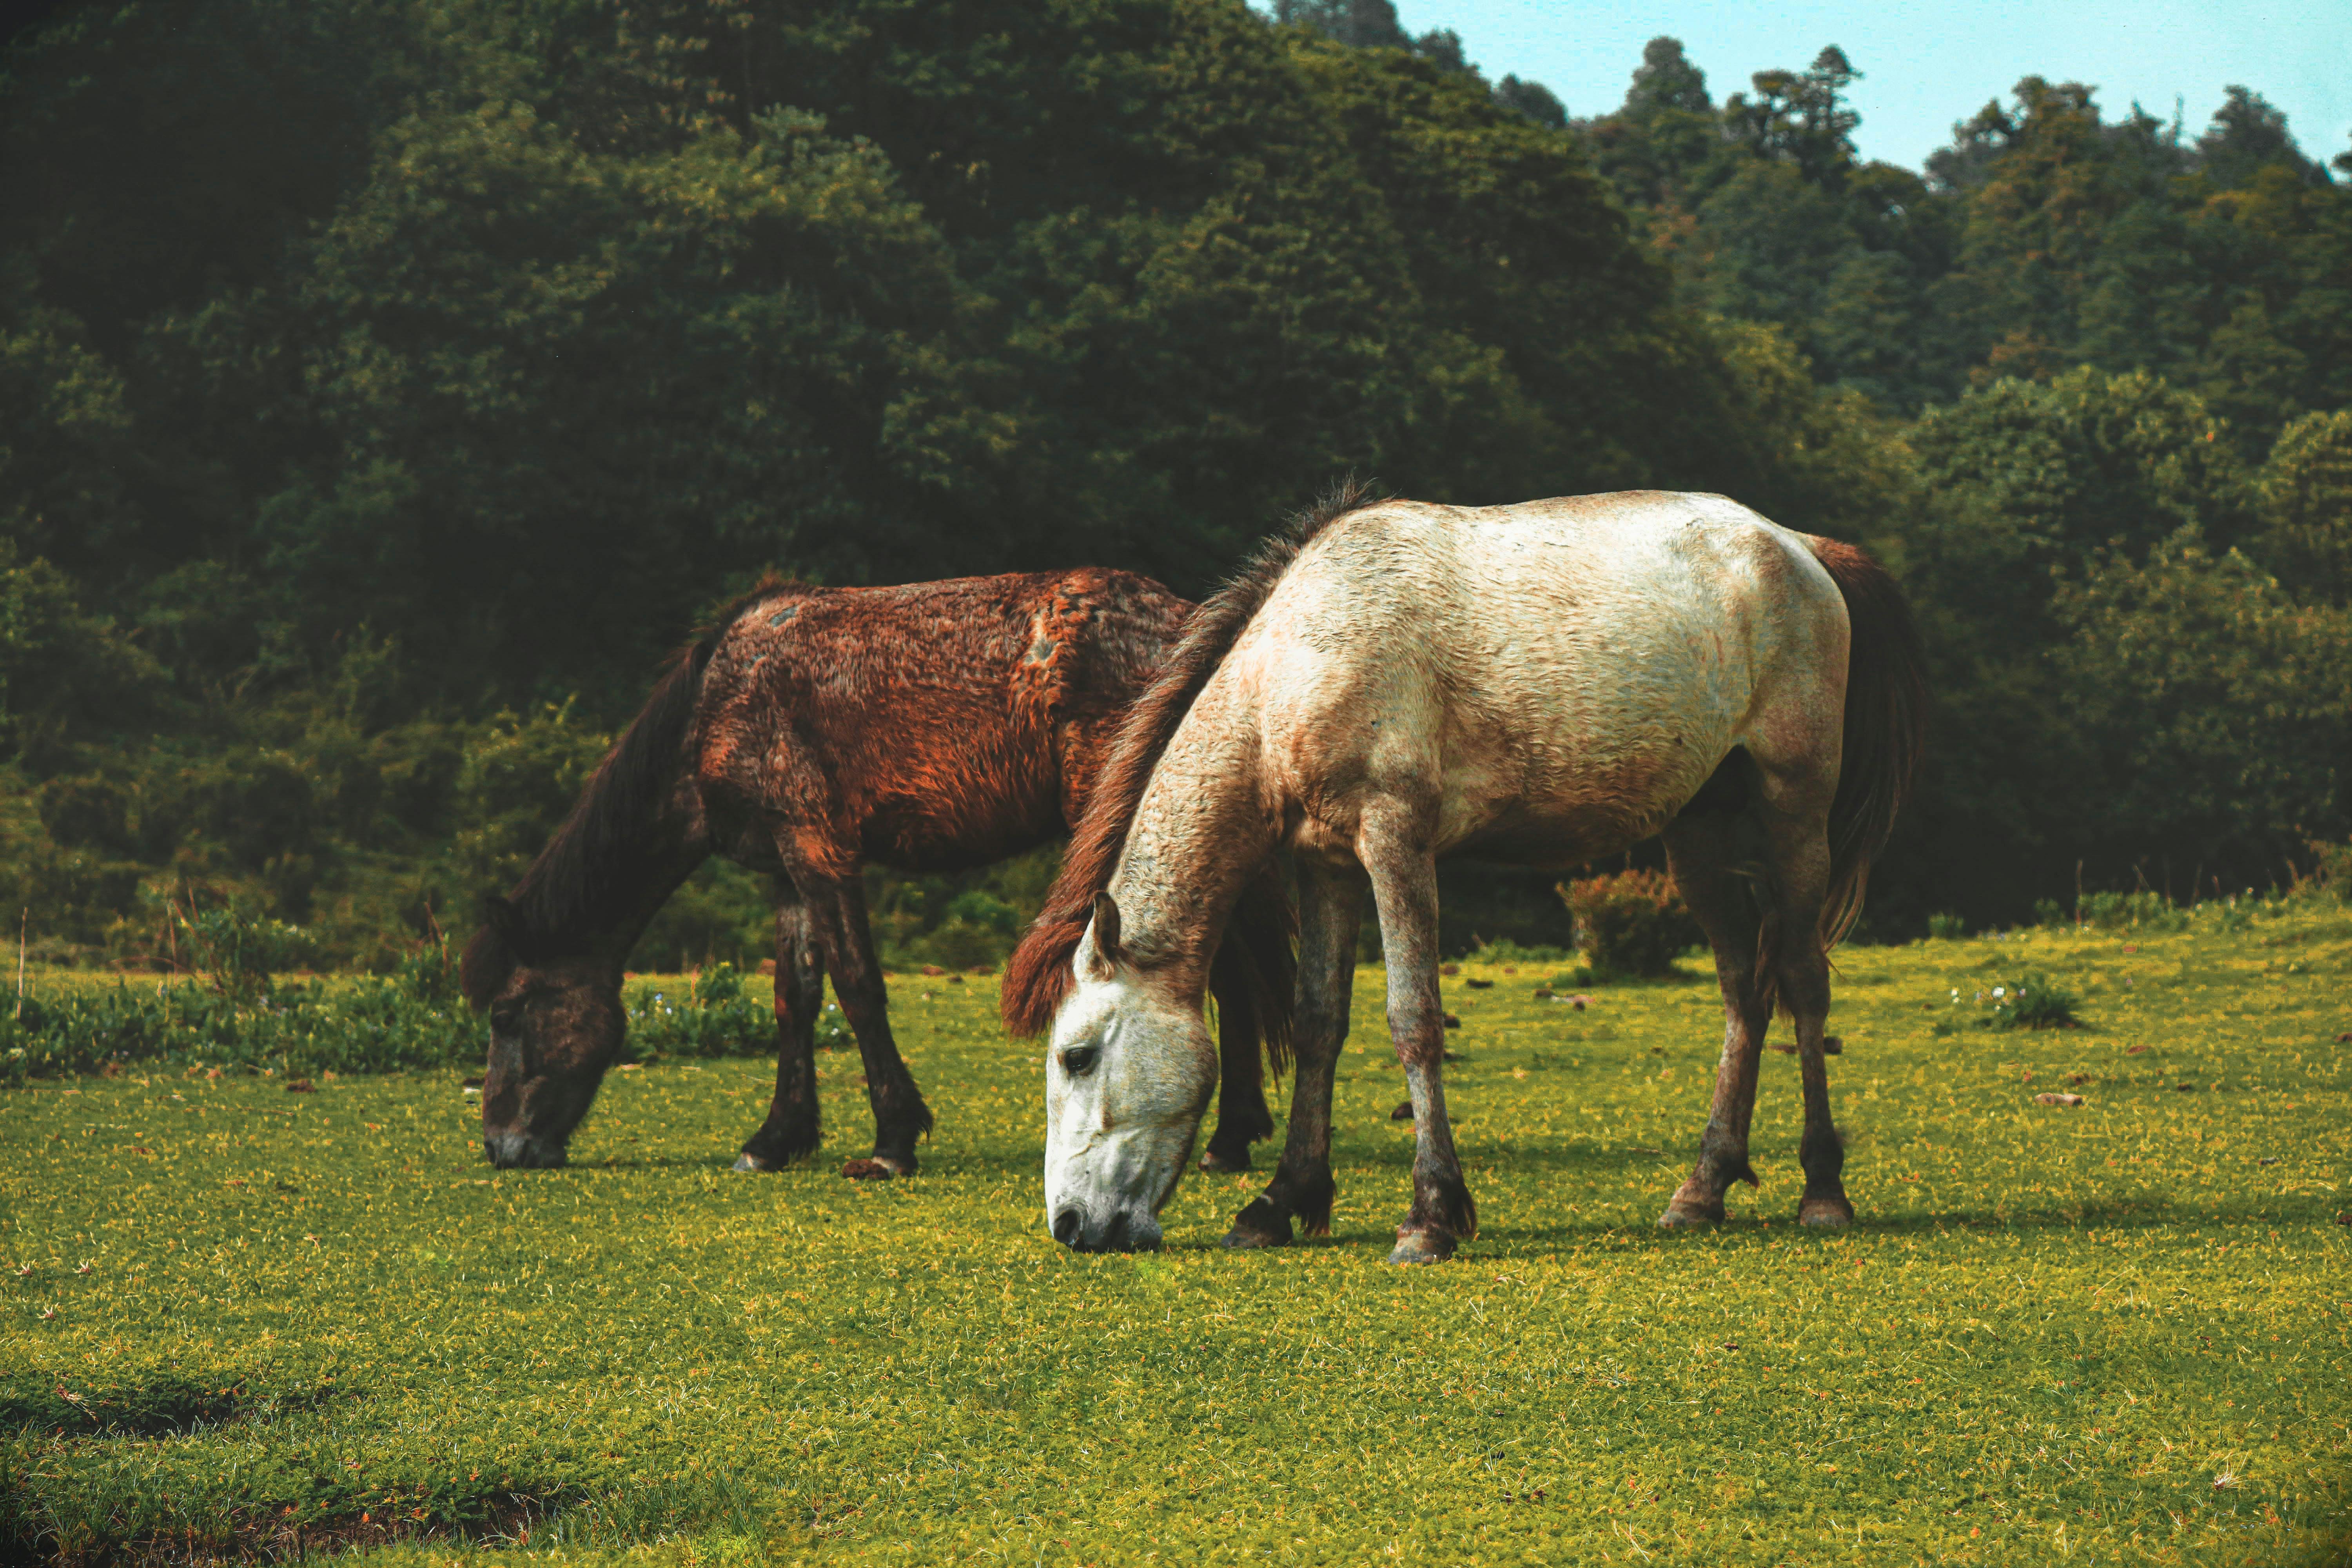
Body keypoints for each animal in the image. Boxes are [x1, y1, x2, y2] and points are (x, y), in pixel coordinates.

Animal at [460, 569, 1295, 1176]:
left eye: (506, 1016)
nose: (502, 1147)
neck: (719, 703)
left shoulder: (818, 850)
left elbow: (857, 988)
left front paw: (893, 1139)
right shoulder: (784, 872)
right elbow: (794, 1000)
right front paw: (776, 1139)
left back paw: (1228, 1138)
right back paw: (1231, 1137)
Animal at [1002, 487, 1925, 1260]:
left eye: (1076, 1056)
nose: (1070, 1226)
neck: (1297, 662)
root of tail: (1800, 548)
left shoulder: (1395, 841)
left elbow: (1414, 1019)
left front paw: (1430, 1216)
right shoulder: (1325, 864)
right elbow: (1317, 1024)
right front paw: (1281, 1201)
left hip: (1793, 813)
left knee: (1801, 982)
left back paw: (1823, 1190)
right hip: (1697, 833)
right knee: (1744, 991)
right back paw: (1702, 1190)